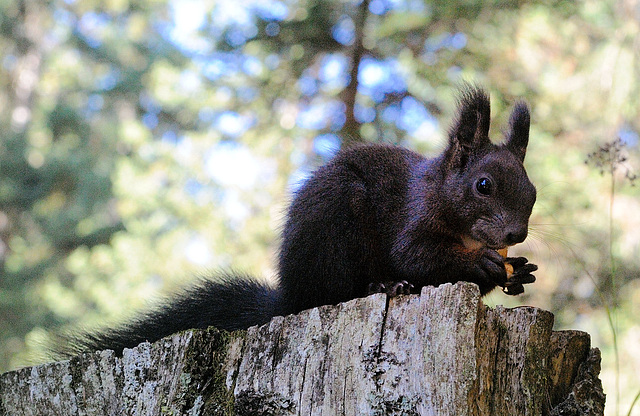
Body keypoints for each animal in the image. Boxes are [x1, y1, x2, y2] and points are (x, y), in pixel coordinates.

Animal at [62, 86, 536, 356]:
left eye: (532, 192)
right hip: (335, 227)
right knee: (331, 293)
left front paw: (519, 271)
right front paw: (480, 264)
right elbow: (417, 257)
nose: (516, 234)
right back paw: (383, 286)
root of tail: (288, 296)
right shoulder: (412, 217)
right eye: (483, 185)